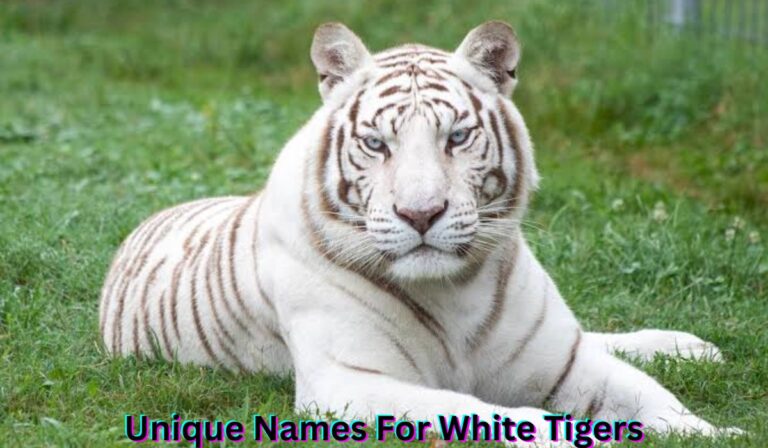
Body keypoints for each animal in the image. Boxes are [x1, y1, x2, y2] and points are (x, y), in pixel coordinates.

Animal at [99, 21, 741, 444]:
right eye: (375, 143)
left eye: (457, 137)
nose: (421, 213)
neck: (456, 290)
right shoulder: (349, 380)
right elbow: (485, 412)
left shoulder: (565, 361)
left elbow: (651, 395)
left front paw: (712, 430)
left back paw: (693, 346)